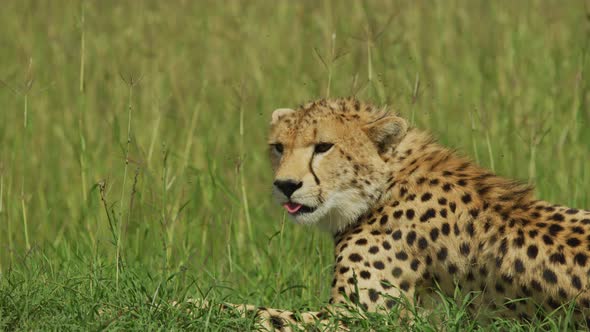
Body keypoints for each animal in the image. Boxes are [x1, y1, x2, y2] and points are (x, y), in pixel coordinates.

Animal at [194, 98, 590, 330]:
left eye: (323, 146)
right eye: (278, 147)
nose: (285, 185)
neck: (384, 182)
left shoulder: (357, 319)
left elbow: (262, 313)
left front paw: (195, 303)